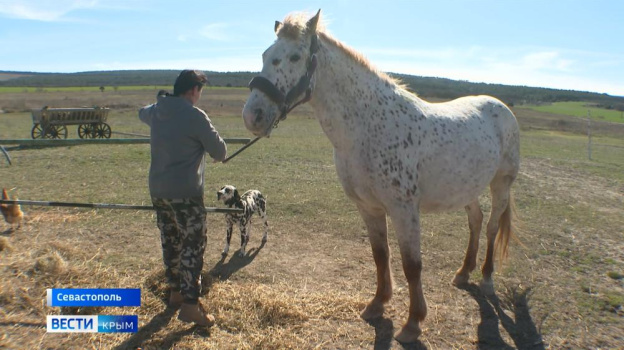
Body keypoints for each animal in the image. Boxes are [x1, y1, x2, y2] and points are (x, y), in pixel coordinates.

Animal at [241, 10, 520, 342]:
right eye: (265, 54)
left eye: (295, 56)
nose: (253, 116)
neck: (369, 127)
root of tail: (500, 106)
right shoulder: (368, 207)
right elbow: (380, 254)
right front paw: (377, 304)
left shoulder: (404, 210)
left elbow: (412, 265)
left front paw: (413, 323)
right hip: (466, 188)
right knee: (475, 221)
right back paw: (463, 273)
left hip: (501, 184)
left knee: (491, 227)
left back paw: (487, 279)